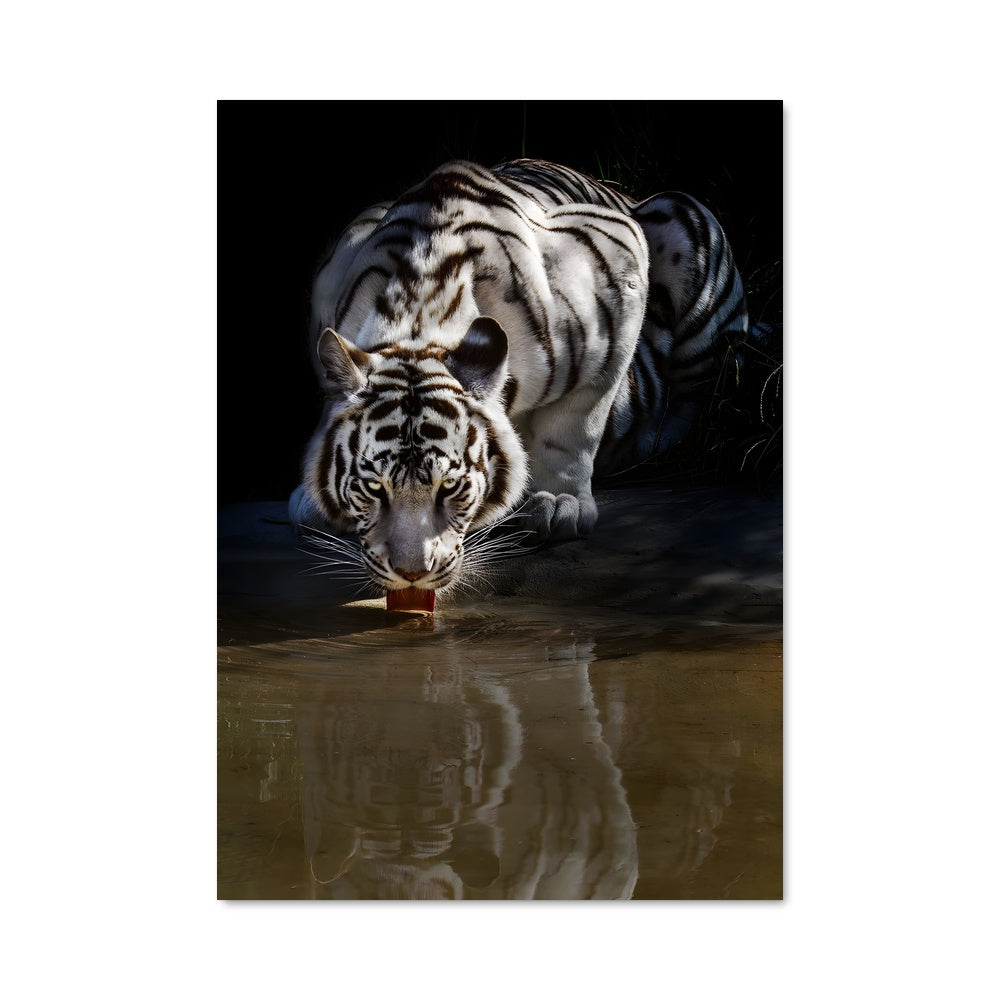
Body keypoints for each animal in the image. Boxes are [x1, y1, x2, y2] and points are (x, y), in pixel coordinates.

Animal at [289, 158, 748, 596]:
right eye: (373, 488)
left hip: (684, 225)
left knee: (696, 394)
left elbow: (575, 423)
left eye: (450, 486)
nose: (412, 574)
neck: (419, 318)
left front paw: (560, 502)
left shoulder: (618, 262)